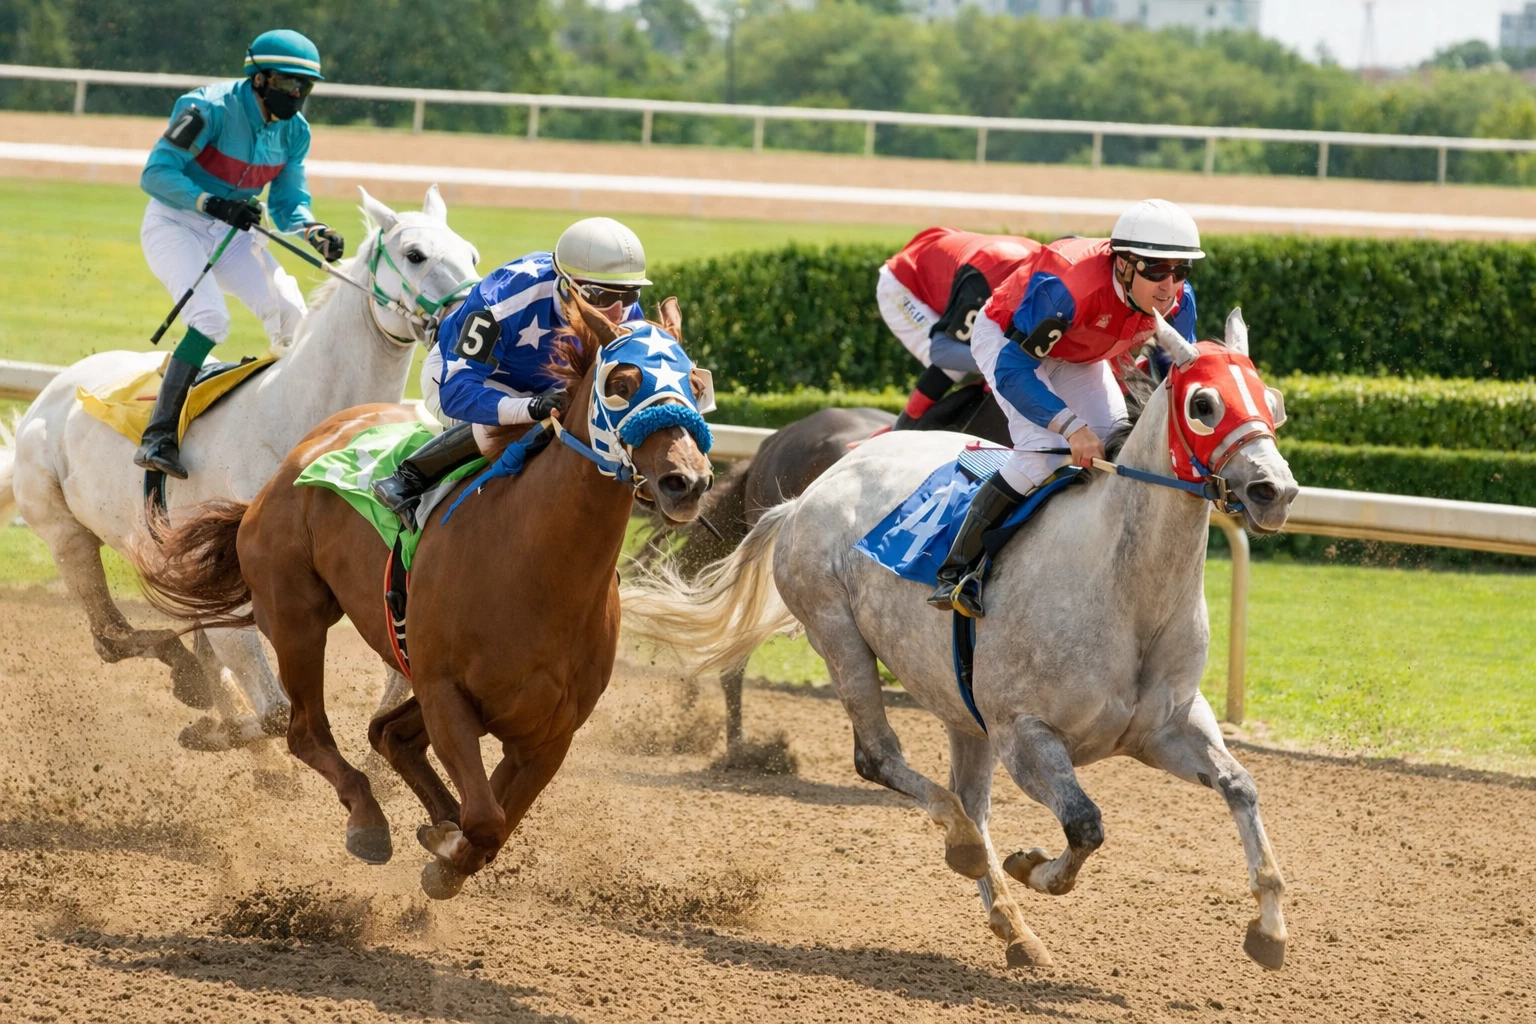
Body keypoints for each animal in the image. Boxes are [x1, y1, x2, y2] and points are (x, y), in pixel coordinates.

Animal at [0, 187, 480, 750]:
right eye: (415, 255)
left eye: (471, 254)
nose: (472, 319)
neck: (300, 417)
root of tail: (54, 390)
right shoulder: (231, 594)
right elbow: (273, 710)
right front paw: (217, 729)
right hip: (66, 532)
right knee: (111, 636)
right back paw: (187, 680)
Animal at [134, 294, 713, 896]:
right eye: (621, 382)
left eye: (696, 385)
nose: (687, 482)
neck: (538, 571)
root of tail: (292, 461)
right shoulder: (445, 693)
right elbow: (484, 820)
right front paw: (444, 847)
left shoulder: (550, 732)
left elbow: (493, 824)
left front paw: (445, 847)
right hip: (297, 617)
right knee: (306, 731)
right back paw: (367, 820)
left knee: (385, 732)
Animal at [620, 309, 1298, 970]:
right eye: (1204, 404)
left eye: (1274, 401)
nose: (1276, 491)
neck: (1126, 591)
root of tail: (807, 494)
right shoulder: (1023, 734)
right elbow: (1085, 824)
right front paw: (1031, 866)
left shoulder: (1168, 727)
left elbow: (1241, 786)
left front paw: (1269, 927)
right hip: (838, 633)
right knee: (886, 763)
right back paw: (964, 847)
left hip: (958, 700)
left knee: (970, 799)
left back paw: (1013, 928)